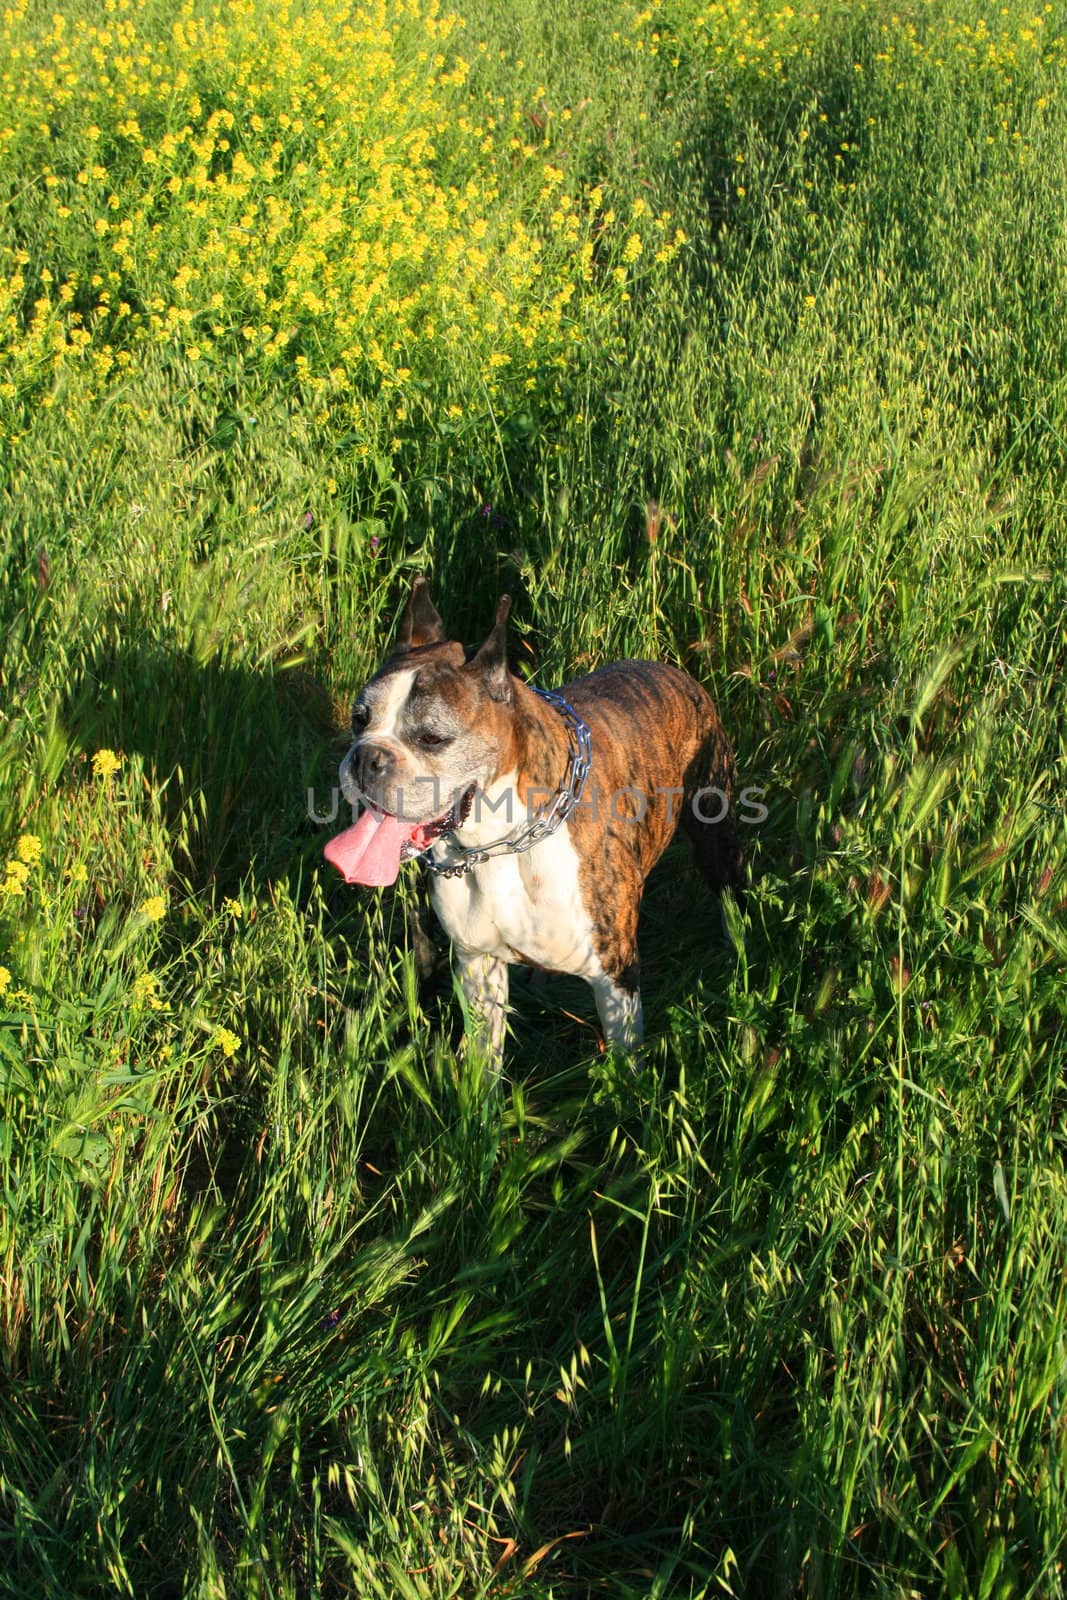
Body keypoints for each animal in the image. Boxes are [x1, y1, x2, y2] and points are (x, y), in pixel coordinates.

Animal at [326, 576, 742, 1062]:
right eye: (359, 719)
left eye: (432, 738)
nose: (366, 758)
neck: (498, 842)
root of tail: (671, 671)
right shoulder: (478, 967)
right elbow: (483, 1060)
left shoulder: (615, 976)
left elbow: (623, 1063)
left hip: (716, 833)